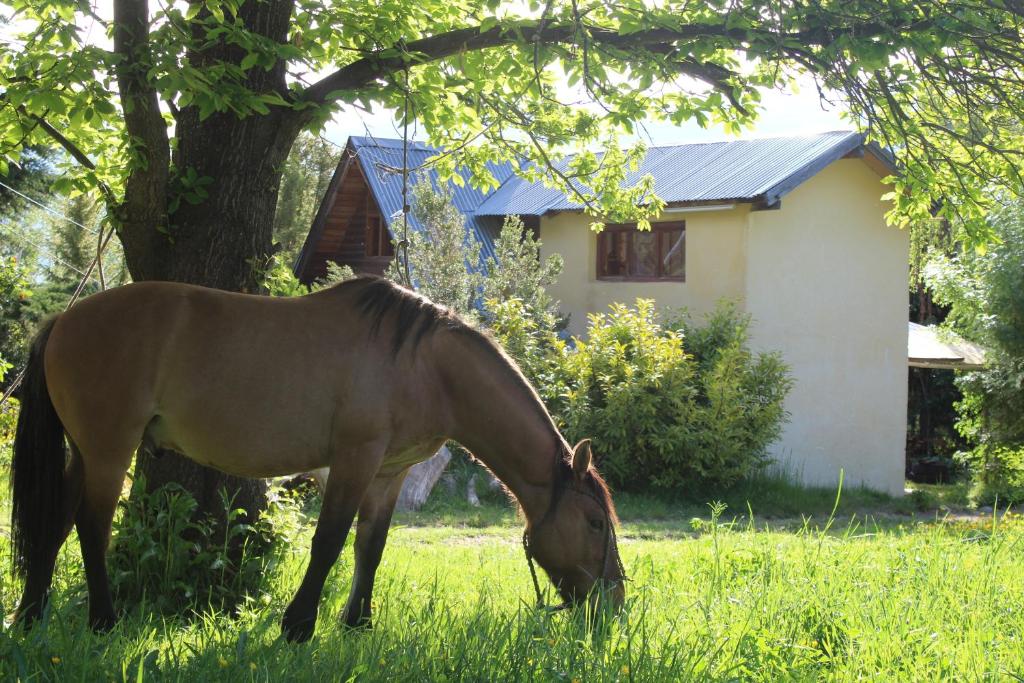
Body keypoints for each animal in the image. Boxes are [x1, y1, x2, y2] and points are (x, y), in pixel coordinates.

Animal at [9, 276, 624, 642]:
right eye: (595, 522)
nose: (614, 603)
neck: (425, 366)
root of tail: (63, 320)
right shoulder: (354, 460)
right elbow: (328, 542)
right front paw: (299, 626)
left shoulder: (389, 473)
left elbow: (370, 548)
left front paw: (358, 623)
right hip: (109, 451)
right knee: (90, 526)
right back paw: (102, 620)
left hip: (85, 452)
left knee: (56, 521)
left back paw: (31, 615)